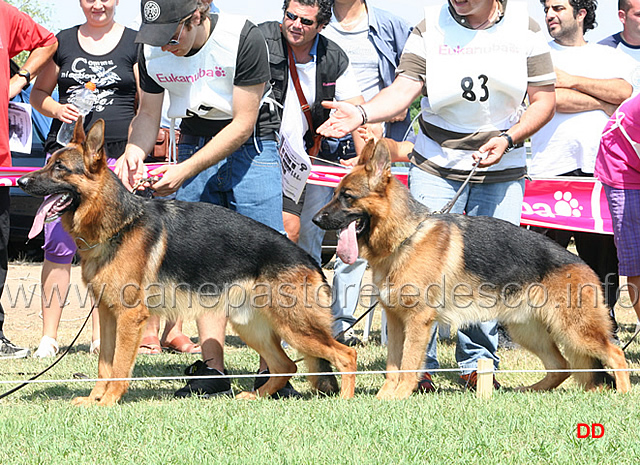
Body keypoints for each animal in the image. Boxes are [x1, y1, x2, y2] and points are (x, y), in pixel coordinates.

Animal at [17, 118, 358, 402]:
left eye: (60, 168)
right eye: (49, 163)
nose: (21, 183)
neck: (120, 224)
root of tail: (309, 259)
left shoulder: (129, 317)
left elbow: (120, 365)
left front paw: (110, 401)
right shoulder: (108, 314)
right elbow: (105, 365)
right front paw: (94, 400)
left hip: (295, 327)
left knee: (344, 355)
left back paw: (345, 401)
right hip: (251, 326)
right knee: (286, 364)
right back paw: (255, 396)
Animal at [314, 139, 632, 398]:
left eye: (347, 197)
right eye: (335, 193)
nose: (317, 220)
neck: (406, 236)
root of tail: (581, 263)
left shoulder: (418, 321)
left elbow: (408, 363)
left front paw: (400, 396)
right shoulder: (394, 319)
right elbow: (394, 365)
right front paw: (384, 398)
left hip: (575, 329)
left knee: (615, 354)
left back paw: (623, 395)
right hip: (528, 331)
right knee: (562, 366)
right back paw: (529, 390)